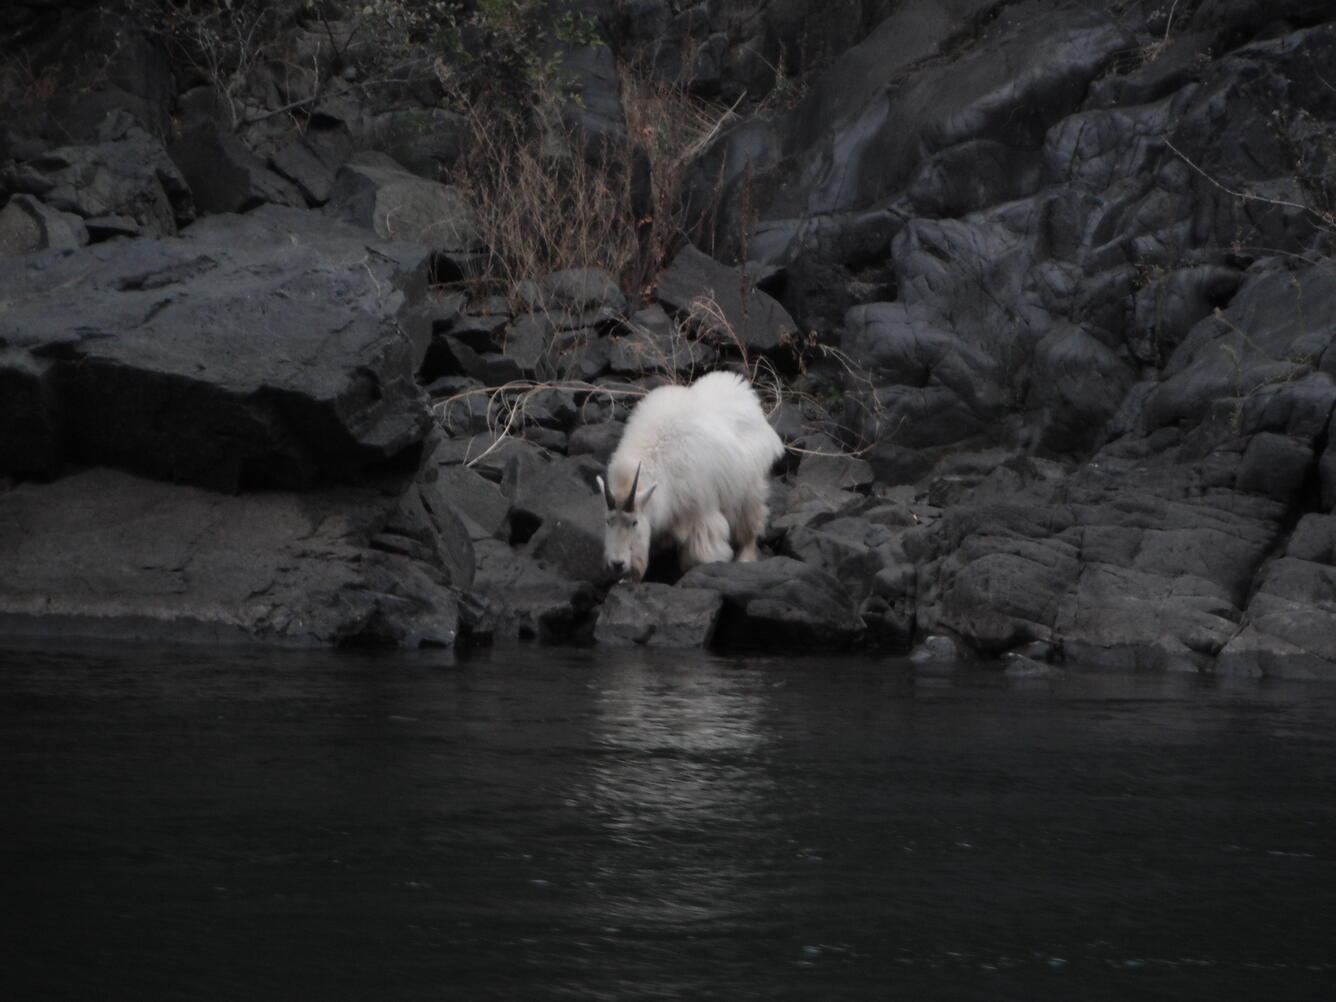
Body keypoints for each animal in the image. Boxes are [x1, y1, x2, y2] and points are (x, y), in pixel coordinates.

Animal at [595, 370, 785, 582]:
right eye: (608, 521)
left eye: (634, 522)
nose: (617, 564)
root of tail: (748, 397)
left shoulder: (700, 510)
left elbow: (698, 554)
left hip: (750, 486)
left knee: (751, 523)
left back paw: (745, 558)